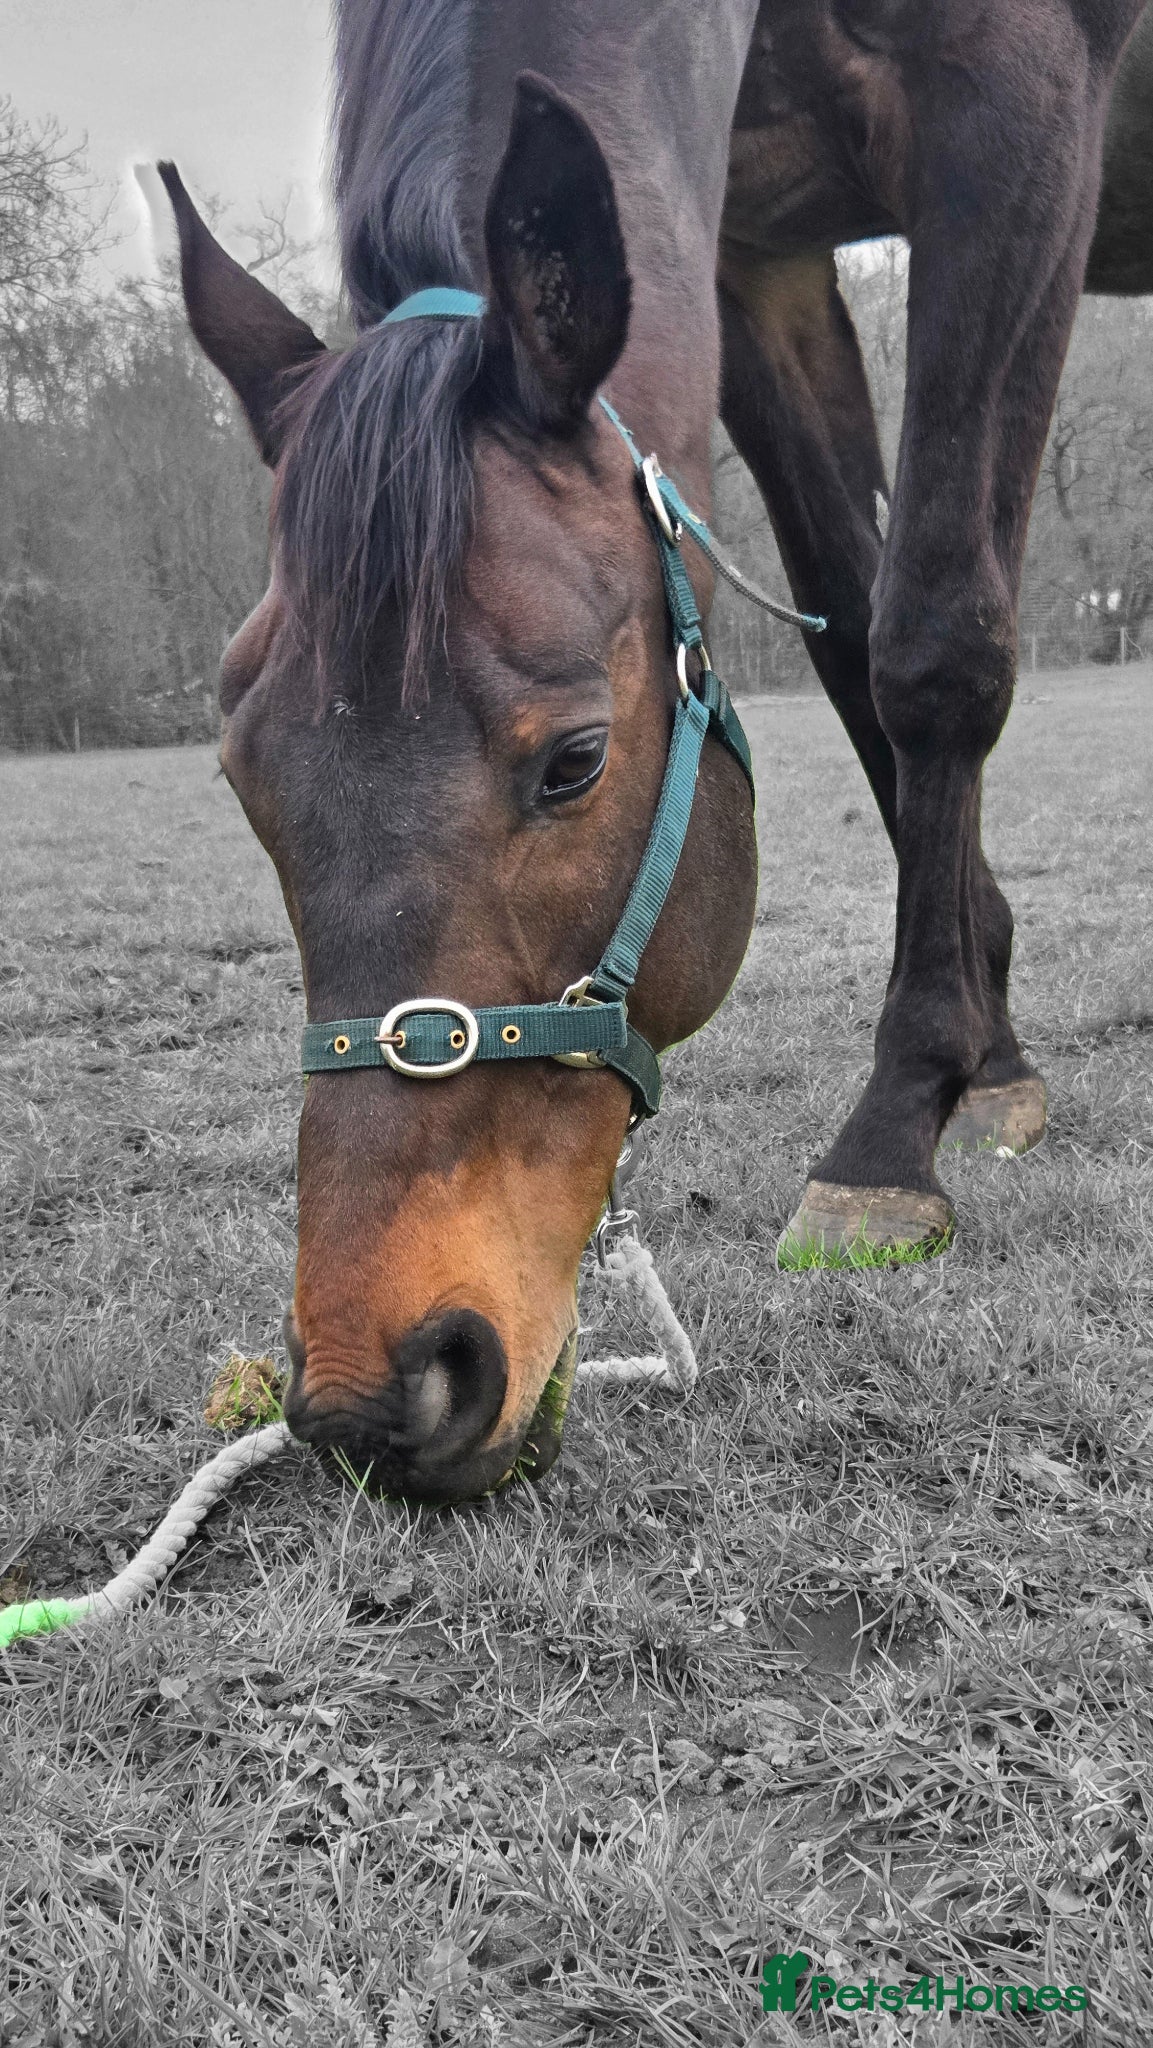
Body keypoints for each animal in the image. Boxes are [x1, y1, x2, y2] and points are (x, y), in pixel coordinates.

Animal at [159, 0, 1148, 1503]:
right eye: (242, 775)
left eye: (574, 760)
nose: (374, 1386)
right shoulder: (757, 258)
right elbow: (852, 630)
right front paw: (986, 1059)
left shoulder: (1023, 112)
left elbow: (931, 646)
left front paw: (895, 1124)